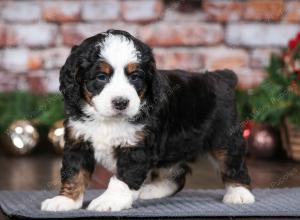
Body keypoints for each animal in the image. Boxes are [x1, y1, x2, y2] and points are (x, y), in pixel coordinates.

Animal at [41, 29, 254, 211]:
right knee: (177, 173)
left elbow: (121, 179)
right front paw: (65, 201)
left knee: (233, 163)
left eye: (135, 77)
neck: (108, 120)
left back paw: (240, 193)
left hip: (224, 137)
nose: (121, 102)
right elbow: (74, 173)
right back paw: (151, 190)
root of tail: (221, 77)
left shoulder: (137, 146)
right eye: (101, 77)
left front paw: (109, 201)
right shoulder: (78, 140)